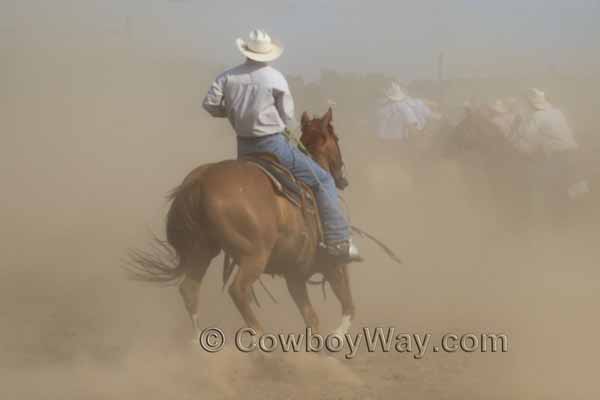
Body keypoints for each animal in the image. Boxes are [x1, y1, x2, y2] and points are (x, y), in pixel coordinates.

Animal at [130, 109, 356, 340]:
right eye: (336, 139)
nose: (342, 179)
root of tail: (201, 180)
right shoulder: (333, 266)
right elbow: (348, 306)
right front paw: (337, 335)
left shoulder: (294, 276)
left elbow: (312, 320)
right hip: (254, 256)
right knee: (238, 290)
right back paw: (260, 338)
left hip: (202, 251)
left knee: (190, 290)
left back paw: (197, 342)